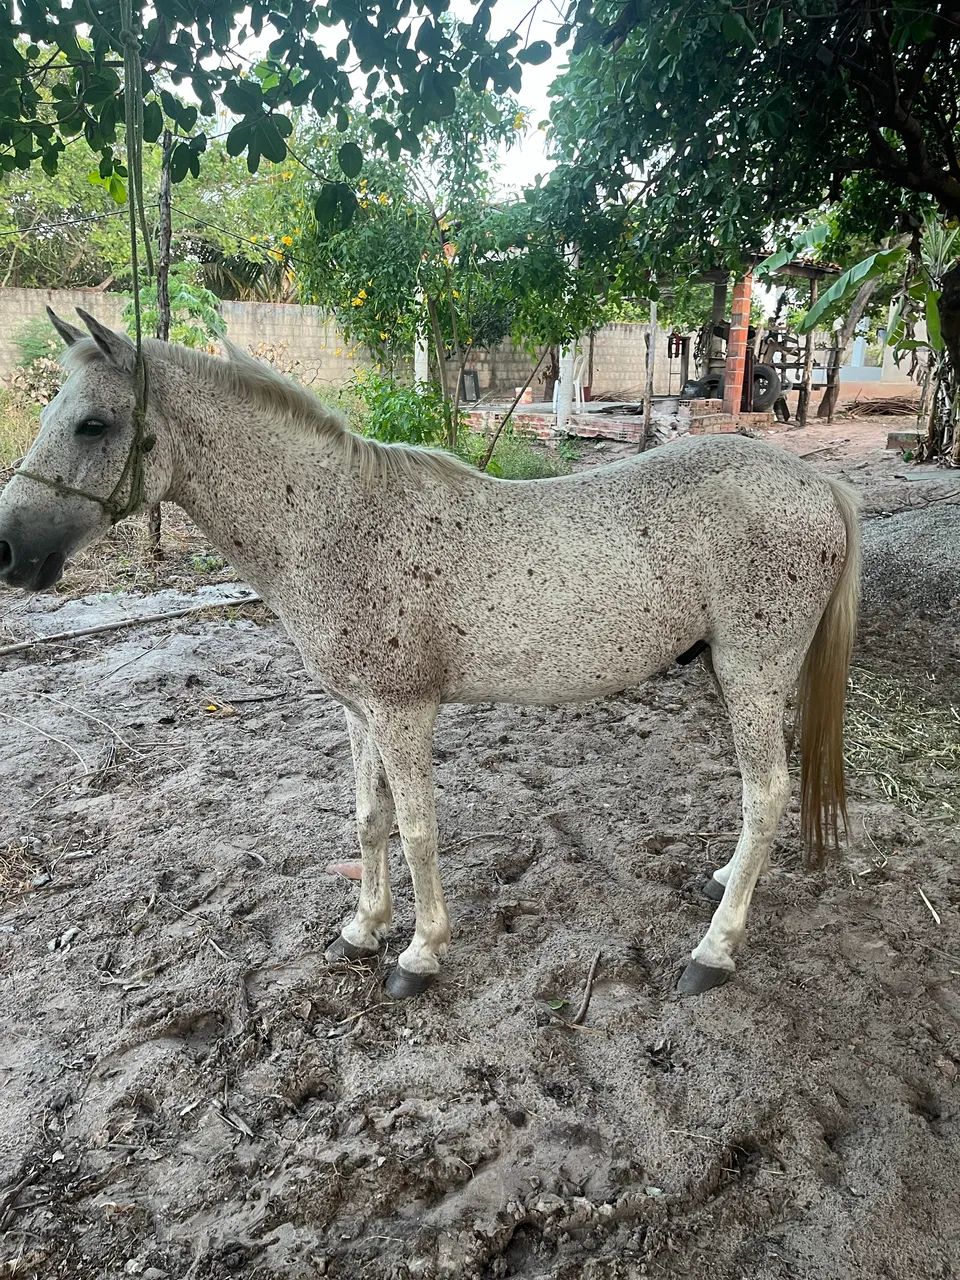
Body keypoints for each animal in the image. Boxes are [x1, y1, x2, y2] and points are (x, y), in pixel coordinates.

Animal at [0, 309, 860, 999]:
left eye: (93, 424)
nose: (9, 551)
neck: (338, 524)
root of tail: (814, 483)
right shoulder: (359, 713)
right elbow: (369, 819)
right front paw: (363, 929)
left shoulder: (402, 712)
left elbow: (417, 828)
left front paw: (419, 953)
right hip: (735, 672)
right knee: (759, 795)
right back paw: (722, 883)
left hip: (752, 673)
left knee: (767, 794)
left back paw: (714, 949)